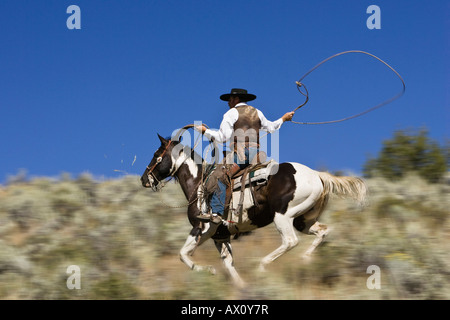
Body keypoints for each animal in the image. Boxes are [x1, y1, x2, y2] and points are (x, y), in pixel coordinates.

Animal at [141, 134, 366, 288]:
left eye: (156, 155)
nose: (144, 179)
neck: (199, 184)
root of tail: (317, 175)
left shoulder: (202, 227)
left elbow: (182, 254)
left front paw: (209, 271)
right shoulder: (220, 236)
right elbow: (228, 264)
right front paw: (241, 285)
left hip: (283, 216)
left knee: (290, 241)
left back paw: (262, 266)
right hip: (303, 220)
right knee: (323, 231)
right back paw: (306, 259)